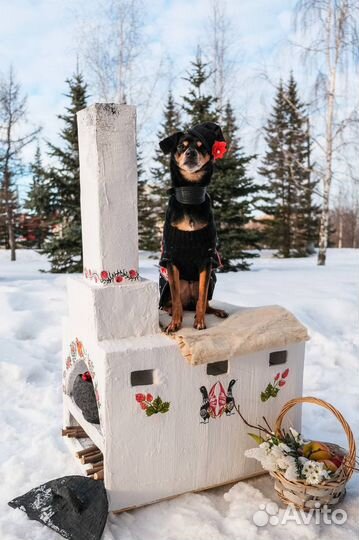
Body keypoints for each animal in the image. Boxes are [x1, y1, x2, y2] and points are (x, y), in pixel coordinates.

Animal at [159, 123, 229, 334]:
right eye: (181, 146)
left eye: (202, 147)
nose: (190, 153)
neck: (190, 197)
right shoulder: (171, 259)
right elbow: (176, 301)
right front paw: (175, 324)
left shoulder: (206, 260)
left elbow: (202, 297)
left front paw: (199, 322)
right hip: (166, 285)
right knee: (173, 303)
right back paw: (170, 311)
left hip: (213, 279)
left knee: (204, 302)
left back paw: (216, 311)